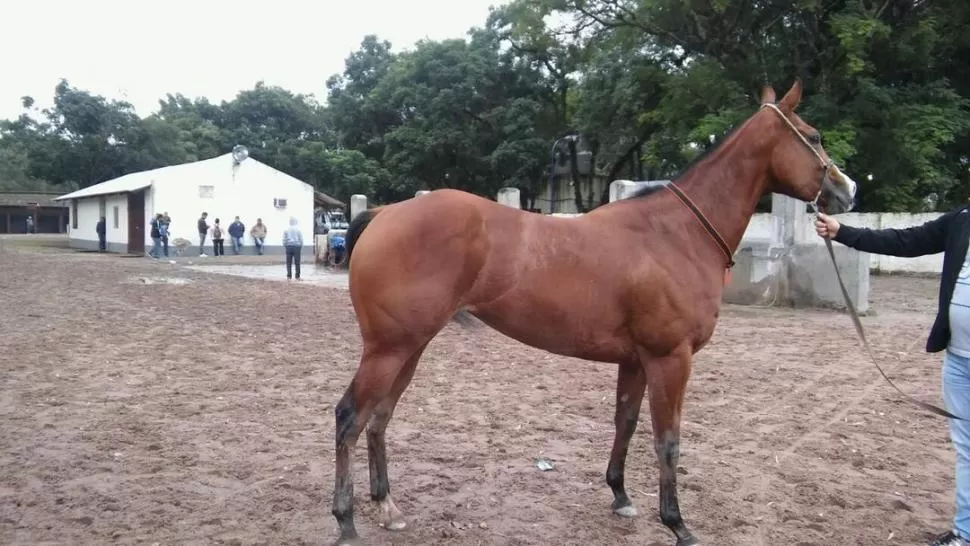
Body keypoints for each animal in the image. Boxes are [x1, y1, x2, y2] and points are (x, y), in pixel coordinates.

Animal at [330, 78, 856, 540]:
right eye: (813, 136)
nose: (848, 190)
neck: (675, 233)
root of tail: (386, 212)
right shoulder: (670, 359)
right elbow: (668, 439)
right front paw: (677, 524)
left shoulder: (636, 360)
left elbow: (626, 422)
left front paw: (620, 496)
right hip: (389, 349)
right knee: (350, 417)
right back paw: (346, 520)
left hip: (410, 347)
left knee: (379, 417)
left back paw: (387, 507)